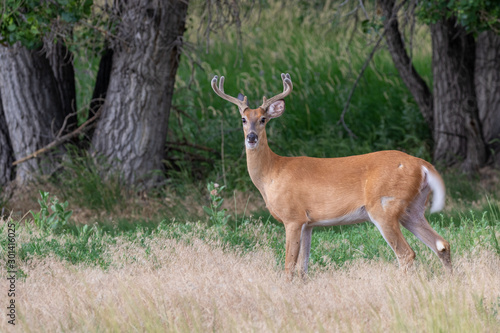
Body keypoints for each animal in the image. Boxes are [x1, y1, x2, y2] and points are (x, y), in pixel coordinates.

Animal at [209, 72, 452, 278]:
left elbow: (289, 265)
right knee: (442, 244)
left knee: (406, 254)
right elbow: (303, 268)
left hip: (384, 206)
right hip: (413, 208)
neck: (272, 173)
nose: (251, 137)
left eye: (263, 119)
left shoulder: (293, 217)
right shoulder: (308, 223)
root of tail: (422, 165)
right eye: (243, 119)